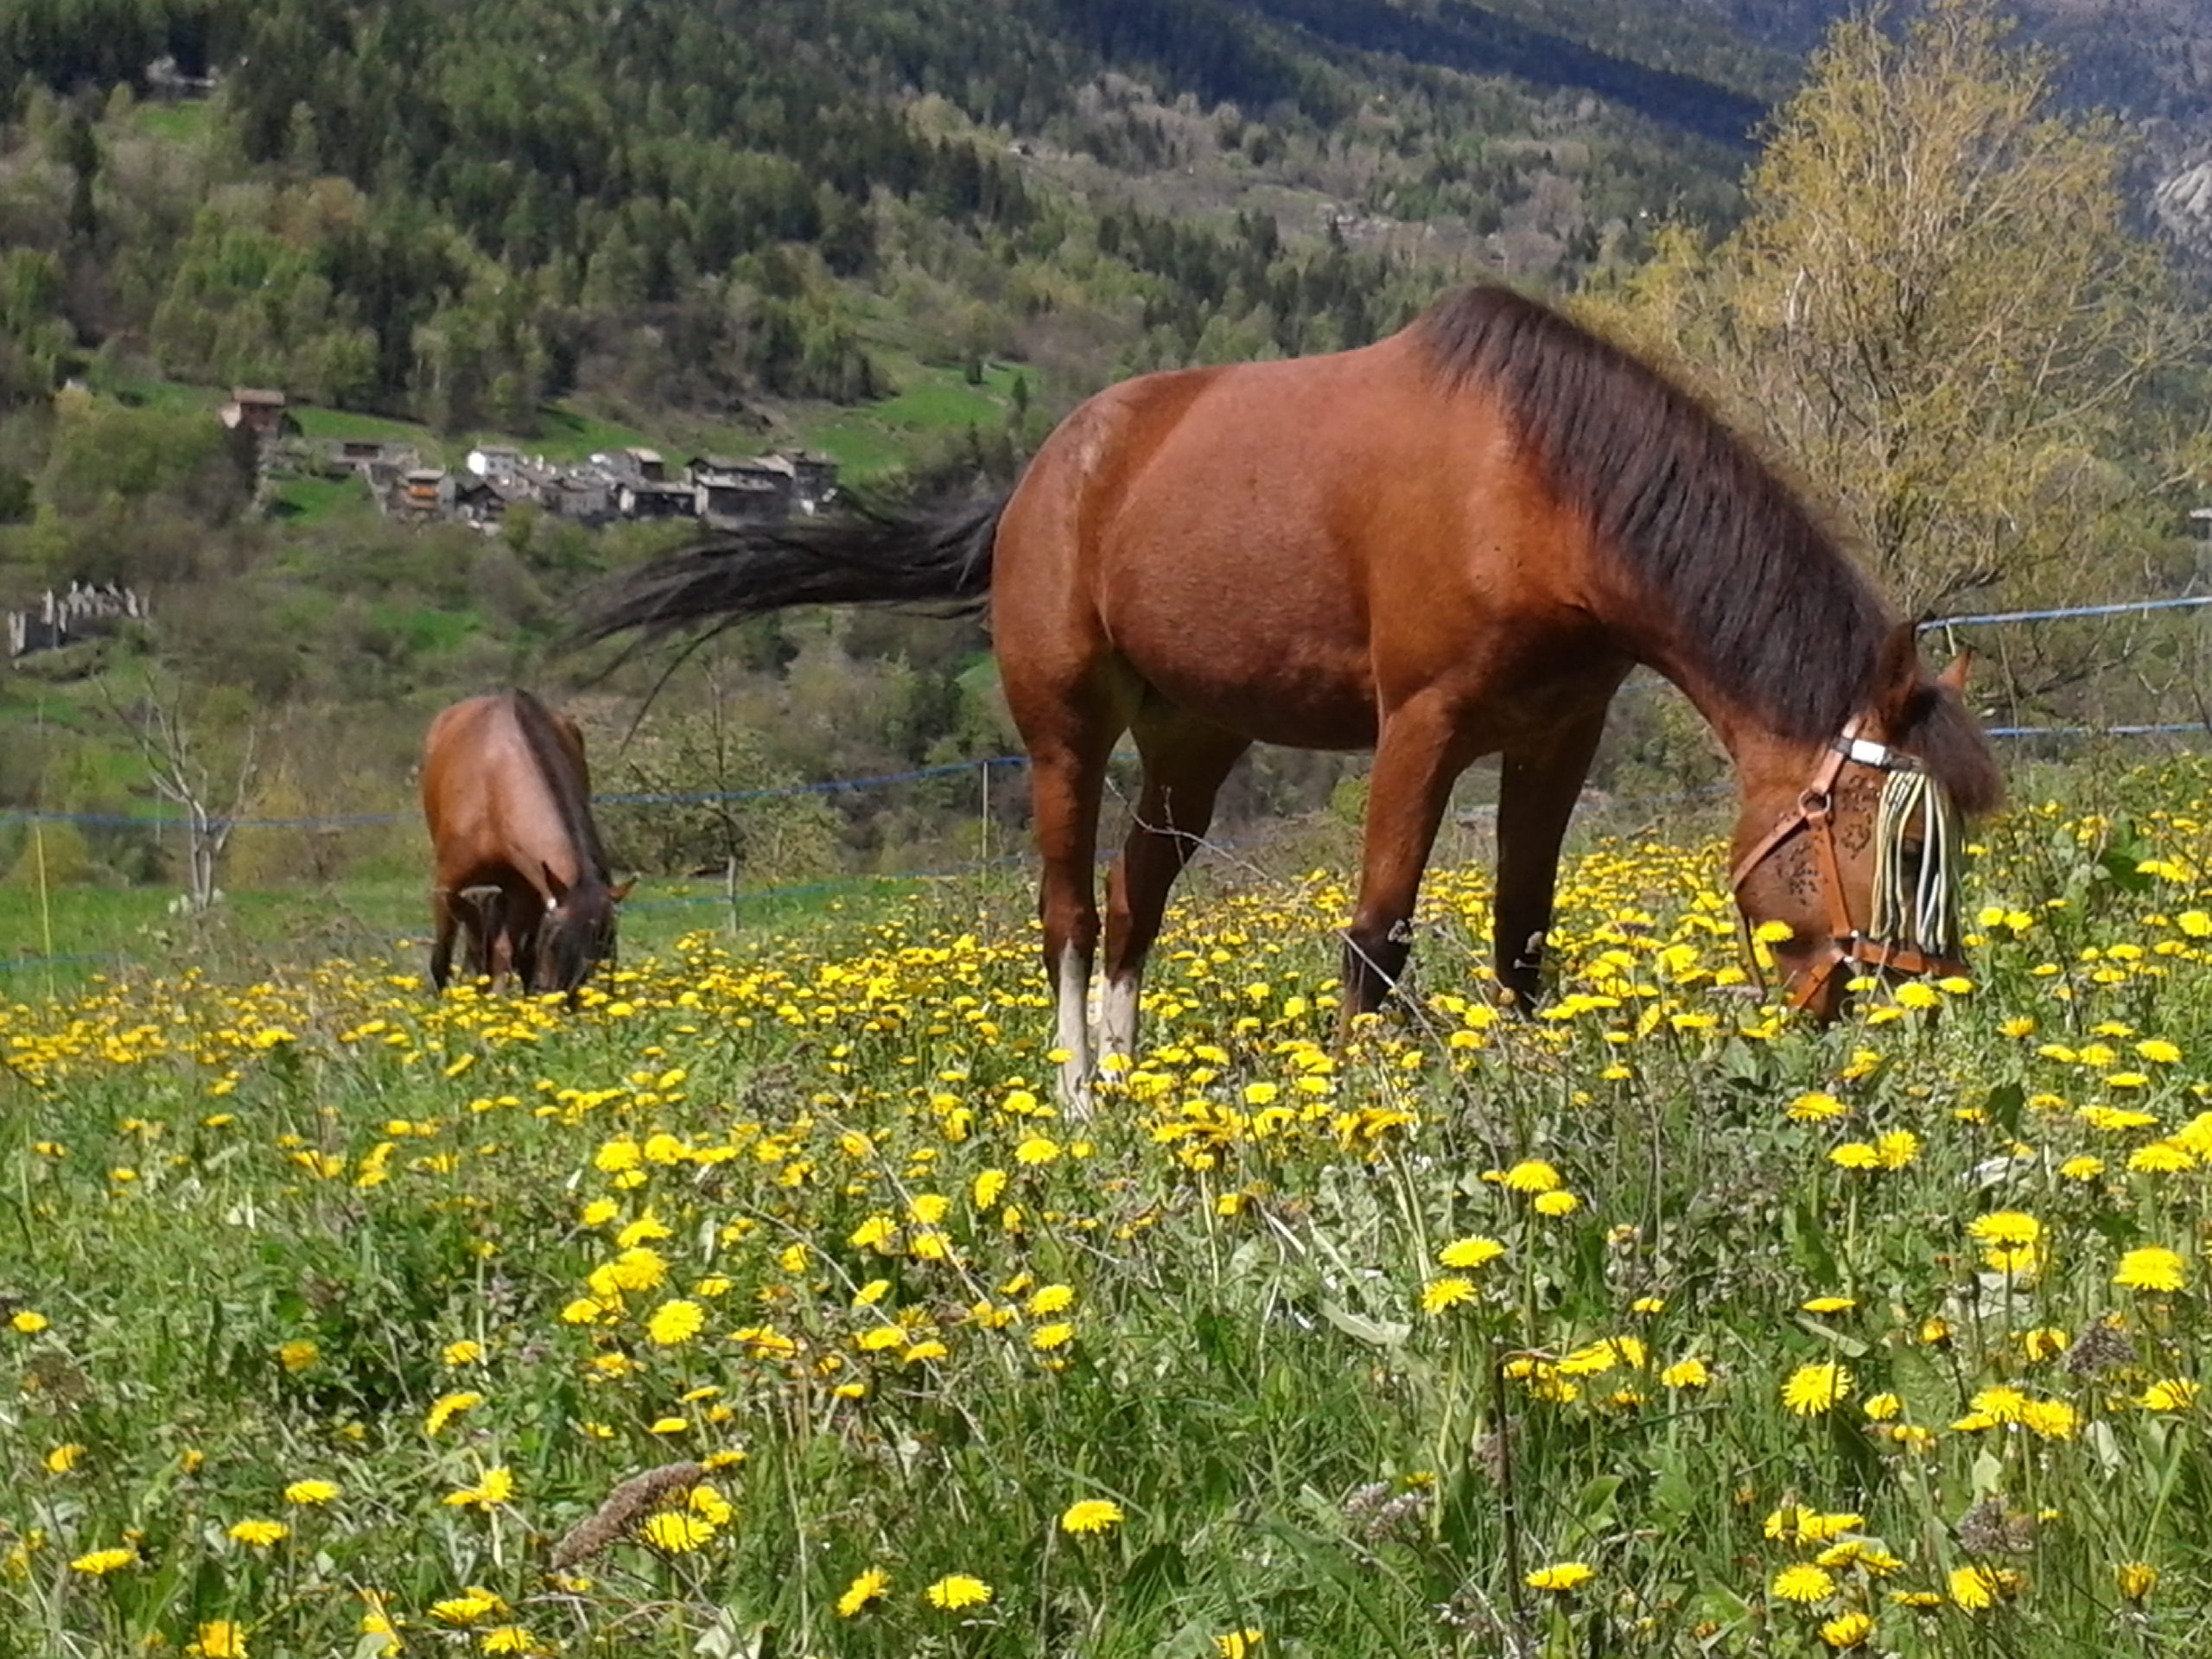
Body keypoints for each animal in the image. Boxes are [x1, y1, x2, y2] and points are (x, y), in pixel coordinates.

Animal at [421, 689, 630, 998]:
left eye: (604, 943)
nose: (567, 999)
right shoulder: (449, 884)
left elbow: (506, 956)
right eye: (554, 940)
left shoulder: (525, 889)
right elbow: (444, 956)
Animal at [580, 284, 2002, 1100]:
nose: (1913, 1006)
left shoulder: (1557, 735)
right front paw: (1357, 1110)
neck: (1539, 490)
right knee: (1067, 916)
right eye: (1896, 844)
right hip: (1064, 734)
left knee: (1135, 899)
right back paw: (1080, 1101)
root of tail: (1039, 478)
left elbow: (1522, 935)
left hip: (1192, 742)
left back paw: (1136, 1085)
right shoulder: (1421, 729)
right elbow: (1376, 935)